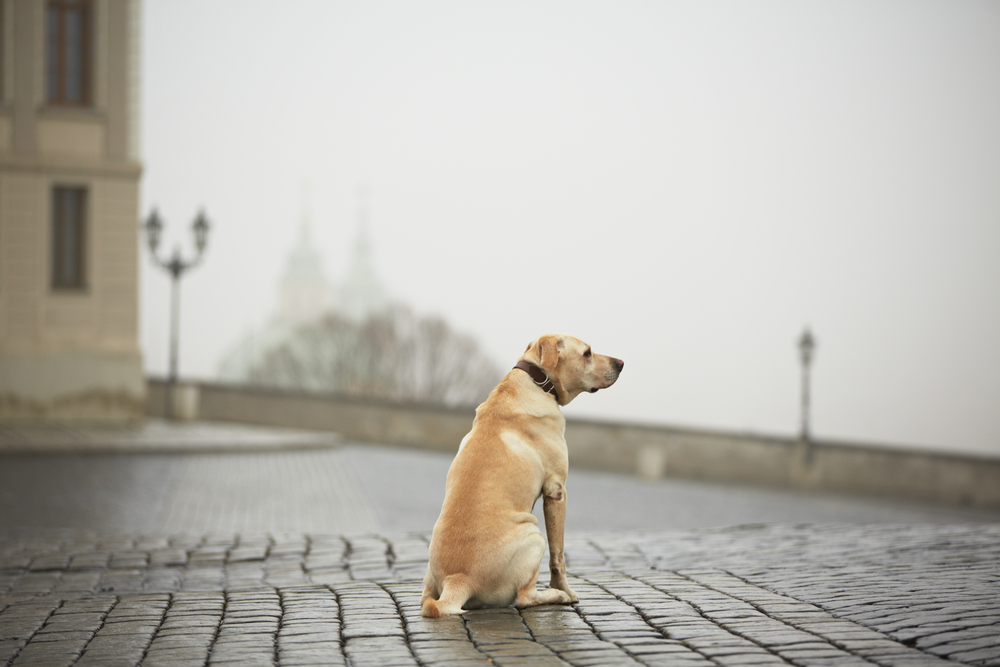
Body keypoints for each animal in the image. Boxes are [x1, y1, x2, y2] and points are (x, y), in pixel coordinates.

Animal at [422, 332, 624, 620]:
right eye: (587, 353)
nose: (621, 363)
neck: (538, 381)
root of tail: (457, 580)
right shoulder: (556, 490)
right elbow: (558, 556)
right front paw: (566, 591)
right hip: (534, 535)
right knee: (524, 598)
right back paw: (555, 595)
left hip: (430, 579)